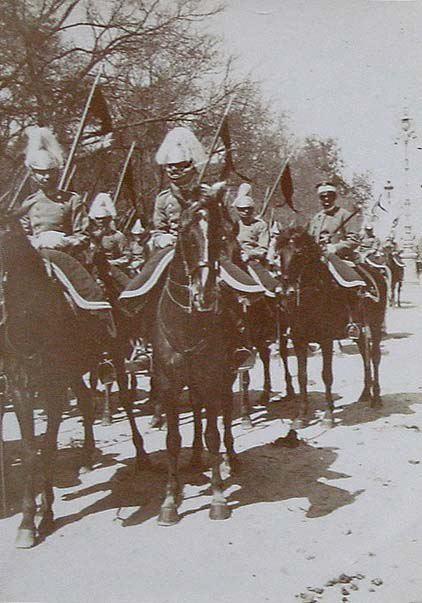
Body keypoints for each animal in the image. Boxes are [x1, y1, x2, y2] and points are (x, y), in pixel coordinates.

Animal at [0, 216, 149, 548]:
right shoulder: (20, 388)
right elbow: (29, 449)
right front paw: (30, 519)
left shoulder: (53, 387)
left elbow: (48, 446)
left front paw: (44, 514)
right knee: (84, 399)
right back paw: (87, 457)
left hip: (115, 352)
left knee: (123, 395)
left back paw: (142, 454)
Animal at [150, 192, 241, 524]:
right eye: (184, 232)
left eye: (219, 235)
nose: (205, 293)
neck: (187, 324)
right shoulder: (168, 386)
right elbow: (172, 441)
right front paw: (169, 500)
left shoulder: (213, 379)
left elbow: (215, 433)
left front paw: (218, 497)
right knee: (198, 411)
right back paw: (196, 457)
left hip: (225, 377)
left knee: (224, 416)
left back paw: (231, 459)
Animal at [276, 228, 388, 430]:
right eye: (279, 255)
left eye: (299, 253)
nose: (285, 291)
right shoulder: (299, 340)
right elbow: (302, 376)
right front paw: (301, 415)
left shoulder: (326, 340)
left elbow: (326, 375)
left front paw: (328, 415)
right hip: (358, 332)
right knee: (364, 356)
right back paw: (365, 394)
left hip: (375, 325)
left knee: (374, 357)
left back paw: (376, 398)